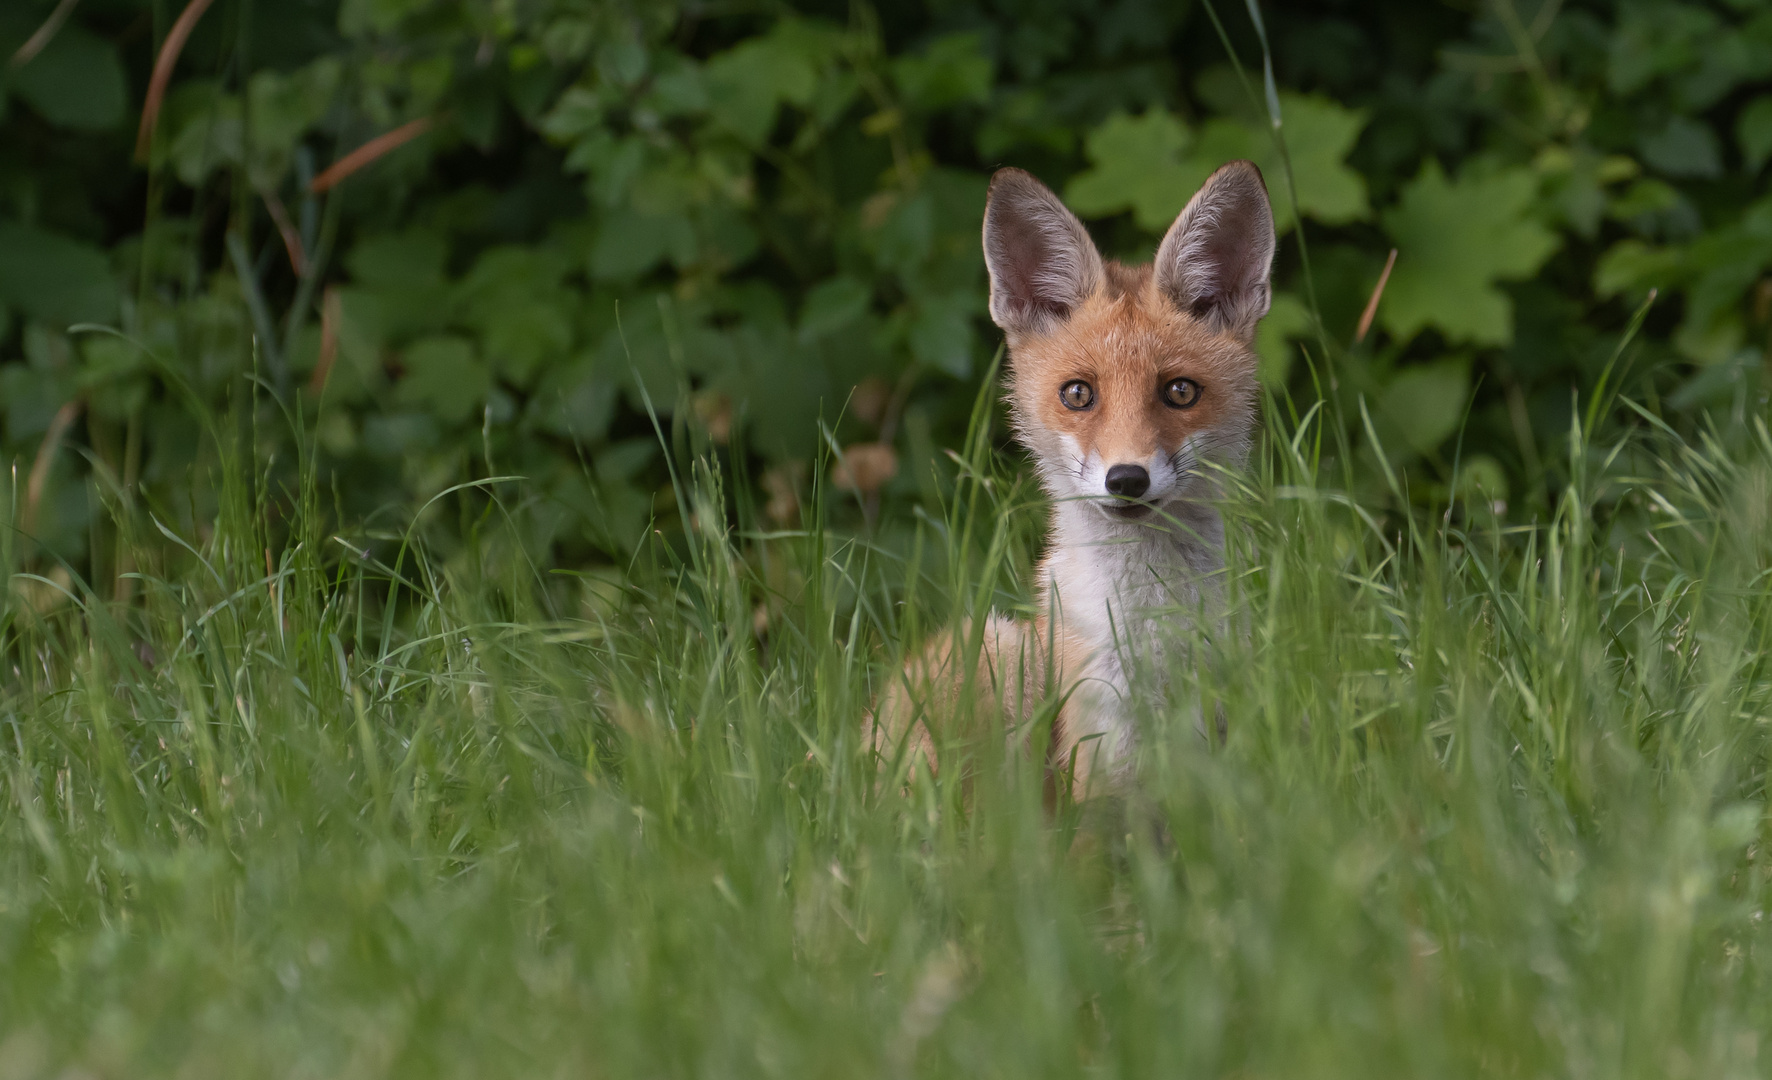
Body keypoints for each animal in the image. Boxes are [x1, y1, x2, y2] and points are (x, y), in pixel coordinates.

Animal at [868, 159, 1275, 801]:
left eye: (1180, 391)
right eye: (1078, 394)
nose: (1127, 478)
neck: (1153, 626)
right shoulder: (1101, 754)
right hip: (1000, 651)